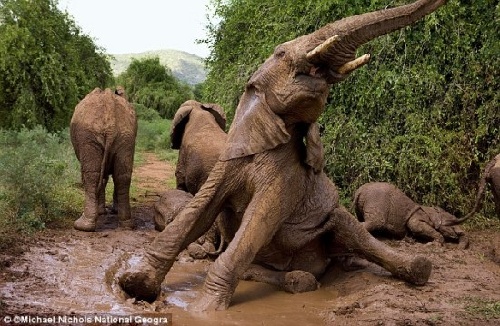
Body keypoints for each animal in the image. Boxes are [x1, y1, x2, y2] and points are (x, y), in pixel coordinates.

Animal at [70, 86, 137, 232]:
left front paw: (101, 213)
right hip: (126, 136)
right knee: (122, 176)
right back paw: (126, 225)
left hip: (88, 136)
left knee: (92, 175)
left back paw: (82, 226)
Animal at [119, 0, 448, 310]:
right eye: (280, 53)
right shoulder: (230, 158)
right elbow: (200, 210)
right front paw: (134, 285)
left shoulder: (288, 179)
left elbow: (259, 220)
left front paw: (203, 309)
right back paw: (300, 279)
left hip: (334, 221)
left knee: (353, 231)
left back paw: (415, 268)